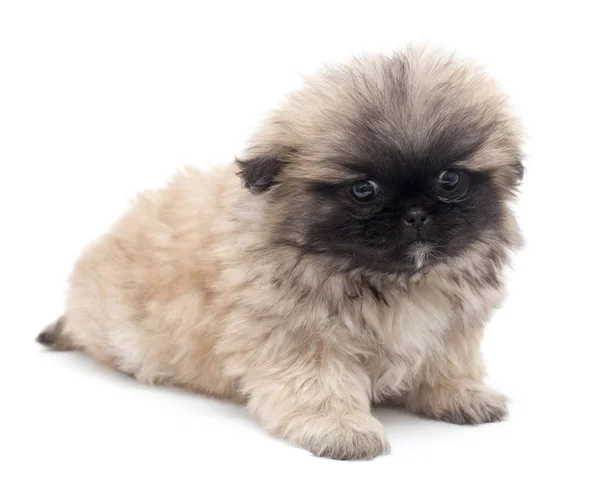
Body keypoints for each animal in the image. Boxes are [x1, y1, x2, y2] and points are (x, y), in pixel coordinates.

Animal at [38, 47, 524, 460]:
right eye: (363, 190)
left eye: (450, 180)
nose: (416, 213)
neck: (391, 281)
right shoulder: (303, 338)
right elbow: (321, 387)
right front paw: (341, 428)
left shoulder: (451, 329)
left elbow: (447, 364)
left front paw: (460, 394)